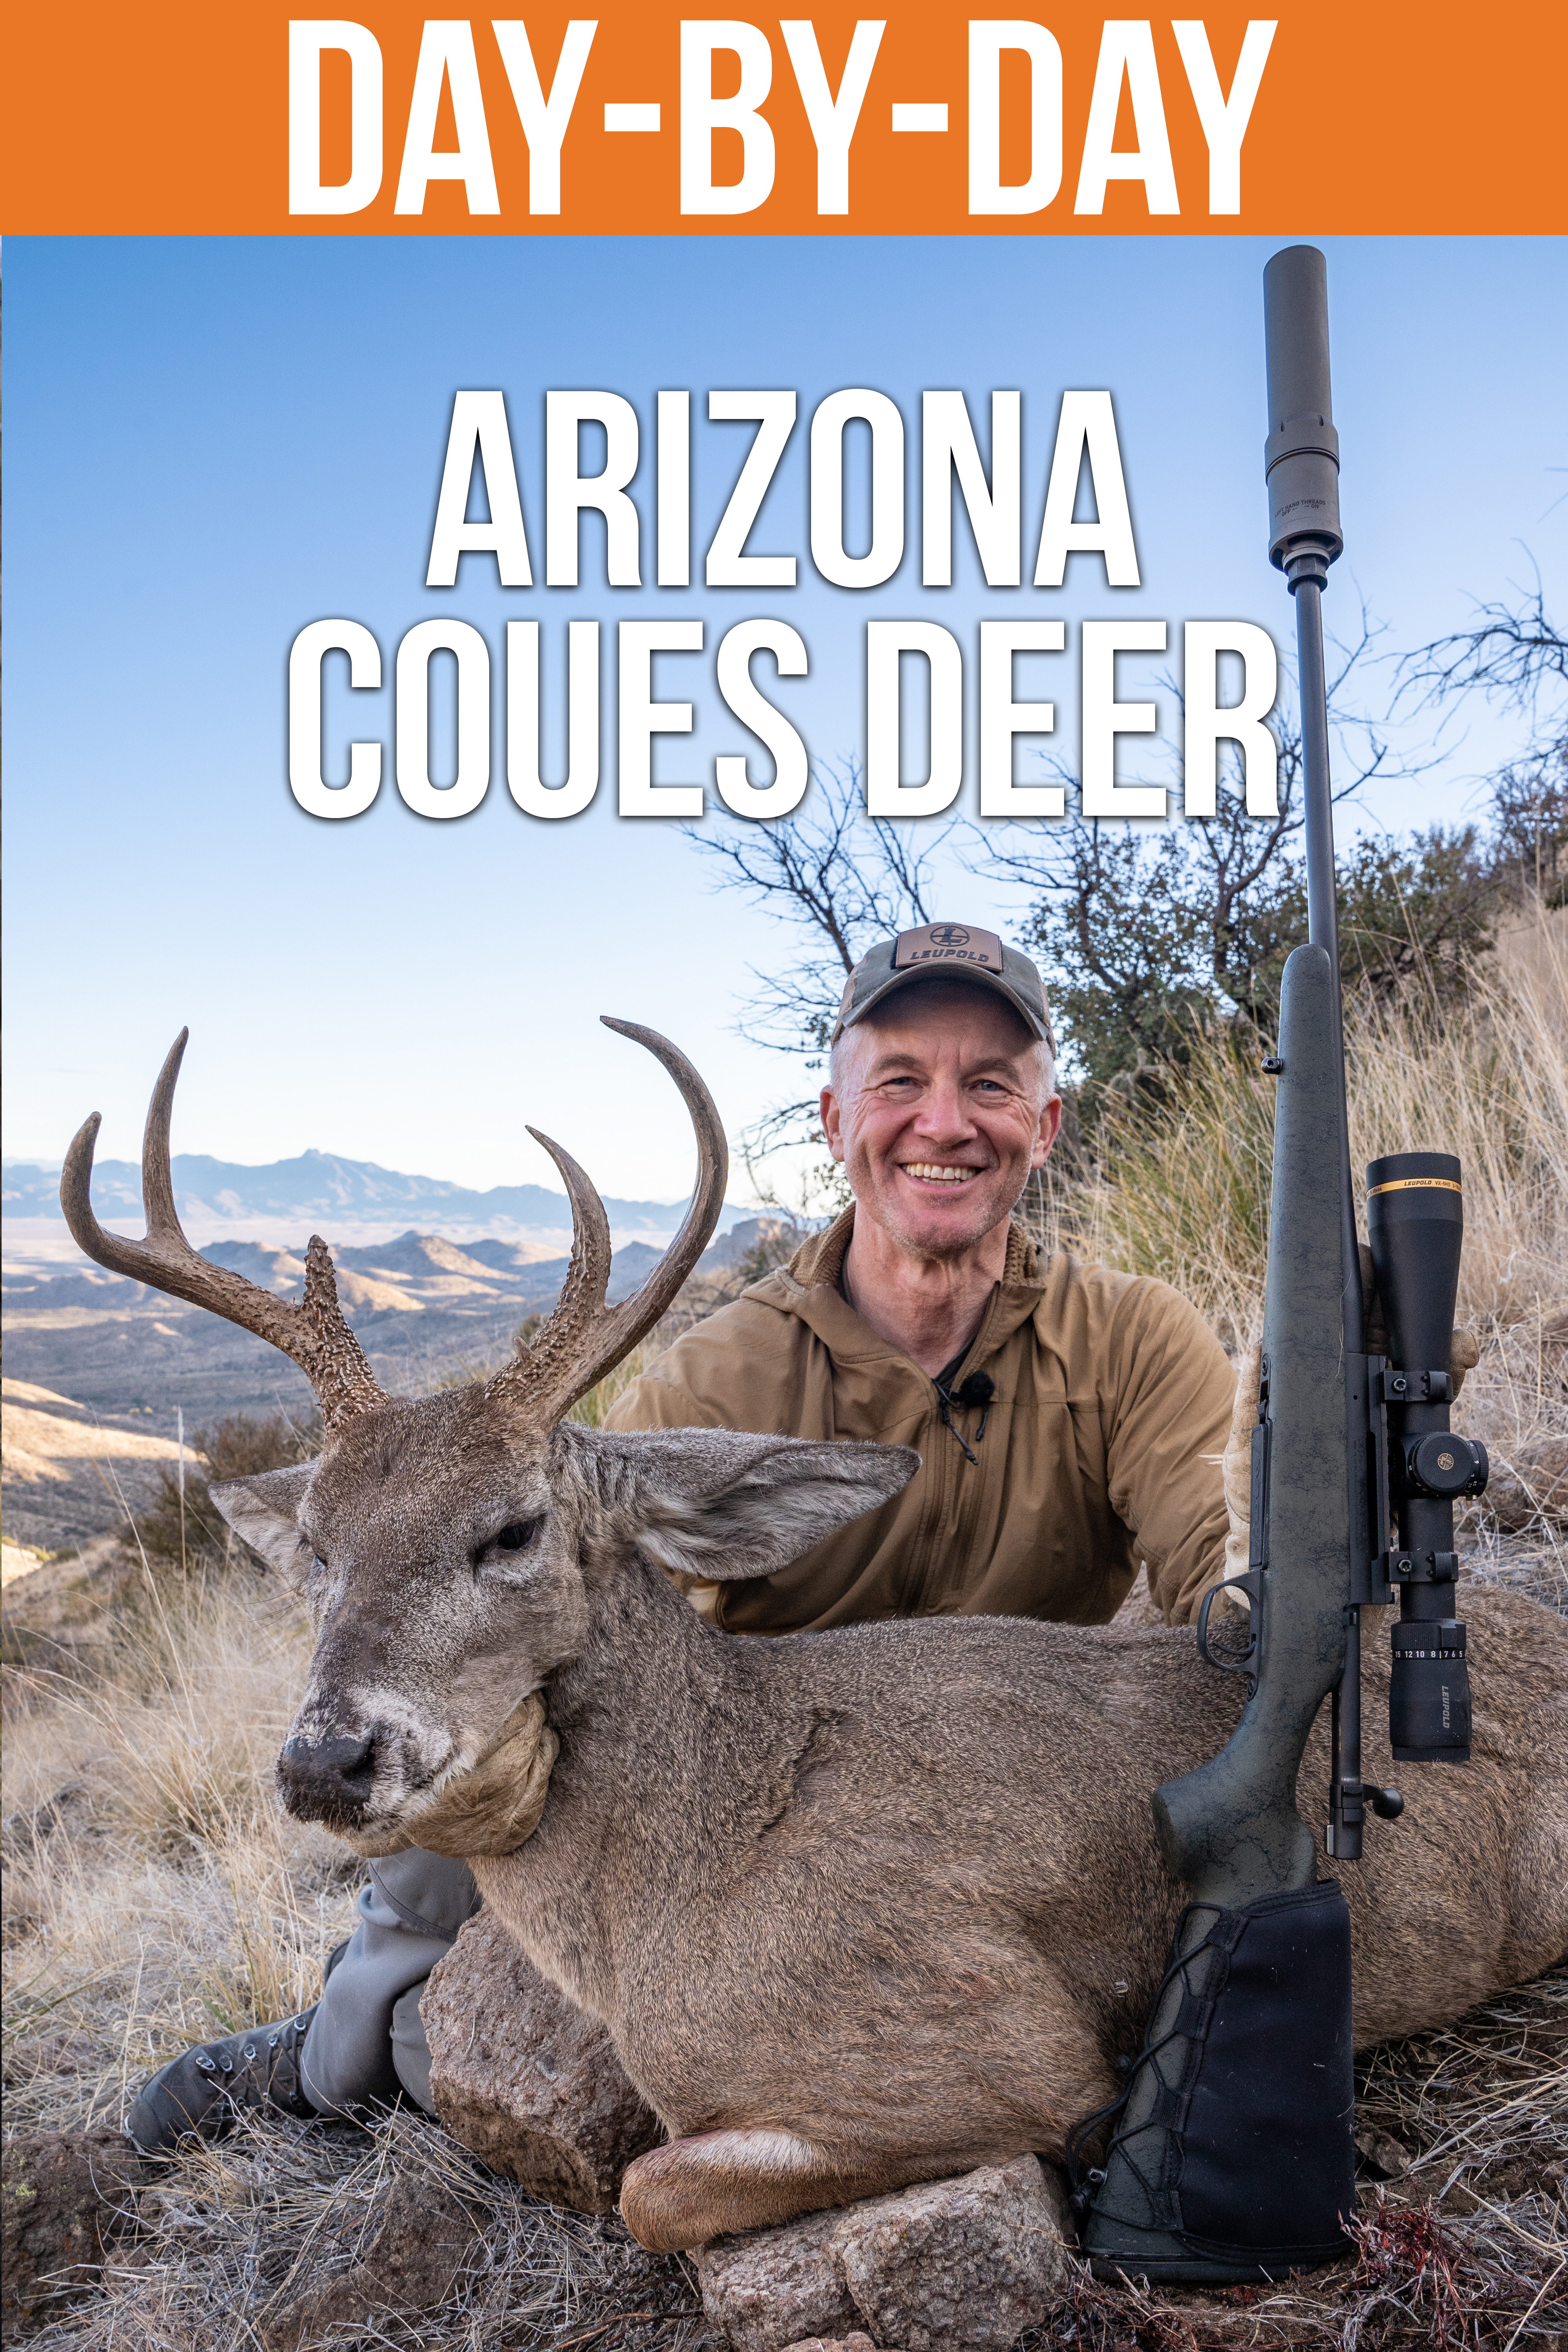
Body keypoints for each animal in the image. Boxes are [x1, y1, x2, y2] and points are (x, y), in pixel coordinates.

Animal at [62, 1023, 1568, 2255]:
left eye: (514, 1528)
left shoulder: (989, 2039)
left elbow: (647, 2187)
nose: (327, 1760)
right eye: (316, 1546)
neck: (690, 1857)